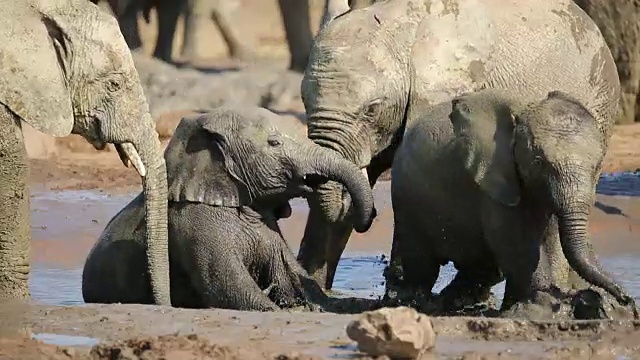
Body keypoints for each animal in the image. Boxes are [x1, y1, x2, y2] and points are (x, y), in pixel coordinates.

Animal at [298, 0, 624, 296]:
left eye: (372, 109)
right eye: (303, 101)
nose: (368, 213)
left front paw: (400, 294)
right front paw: (311, 289)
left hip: (600, 102)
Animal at [388, 88, 636, 320]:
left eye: (597, 166)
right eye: (538, 163)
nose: (627, 299)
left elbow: (550, 237)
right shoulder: (493, 178)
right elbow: (516, 242)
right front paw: (541, 306)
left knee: (482, 266)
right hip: (408, 196)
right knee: (421, 261)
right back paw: (417, 303)